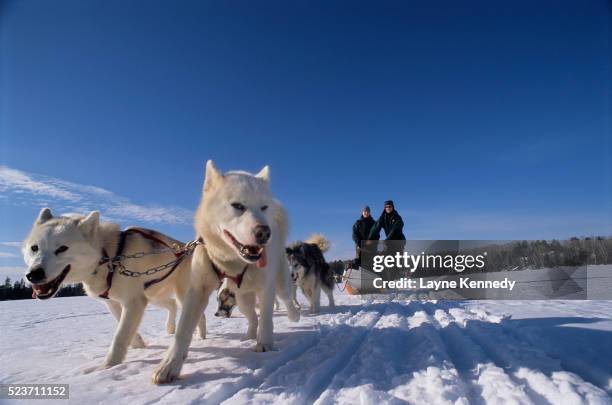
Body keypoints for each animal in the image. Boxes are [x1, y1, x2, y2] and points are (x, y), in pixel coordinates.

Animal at [22, 208, 206, 370]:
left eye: (62, 248)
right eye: (34, 248)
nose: (33, 274)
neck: (108, 257)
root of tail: (185, 247)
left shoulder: (134, 303)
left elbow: (119, 336)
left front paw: (107, 366)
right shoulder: (114, 303)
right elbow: (124, 327)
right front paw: (139, 345)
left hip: (181, 294)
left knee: (197, 314)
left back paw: (201, 337)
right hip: (154, 296)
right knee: (172, 305)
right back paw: (170, 328)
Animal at [153, 159, 302, 384]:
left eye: (264, 207)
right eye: (238, 206)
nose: (264, 232)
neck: (233, 262)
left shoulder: (266, 288)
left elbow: (267, 318)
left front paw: (265, 344)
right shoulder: (198, 290)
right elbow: (183, 330)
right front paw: (170, 364)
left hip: (280, 283)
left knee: (285, 300)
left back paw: (293, 316)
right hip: (242, 300)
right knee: (253, 317)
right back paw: (249, 335)